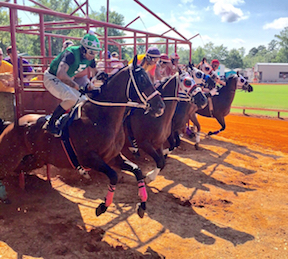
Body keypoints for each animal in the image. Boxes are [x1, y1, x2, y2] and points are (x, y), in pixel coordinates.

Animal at [0, 55, 164, 218]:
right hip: (9, 159)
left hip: (33, 160)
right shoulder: (89, 158)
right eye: (142, 79)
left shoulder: (113, 157)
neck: (100, 117)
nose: (160, 106)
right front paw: (103, 206)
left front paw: (142, 204)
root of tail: (10, 125)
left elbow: (137, 170)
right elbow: (114, 176)